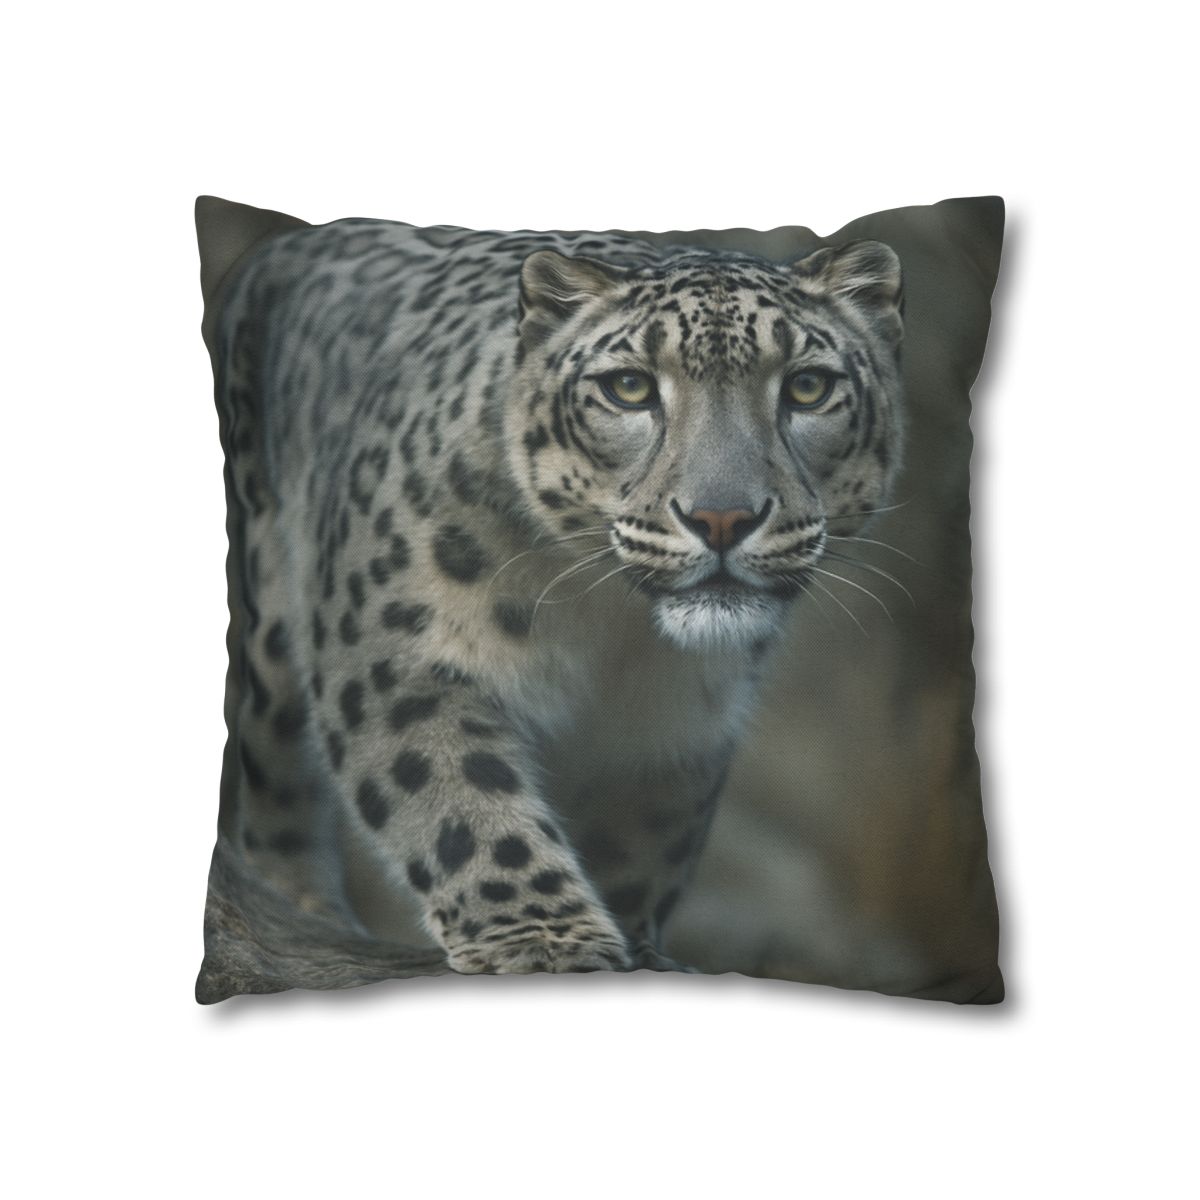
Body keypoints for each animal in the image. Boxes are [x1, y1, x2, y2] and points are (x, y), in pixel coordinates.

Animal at [210, 213, 904, 975]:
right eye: (629, 387)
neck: (613, 633)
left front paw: (636, 946)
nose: (722, 517)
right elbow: (457, 795)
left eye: (808, 387)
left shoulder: (678, 729)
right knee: (273, 776)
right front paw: (544, 940)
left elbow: (642, 841)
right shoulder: (398, 653)